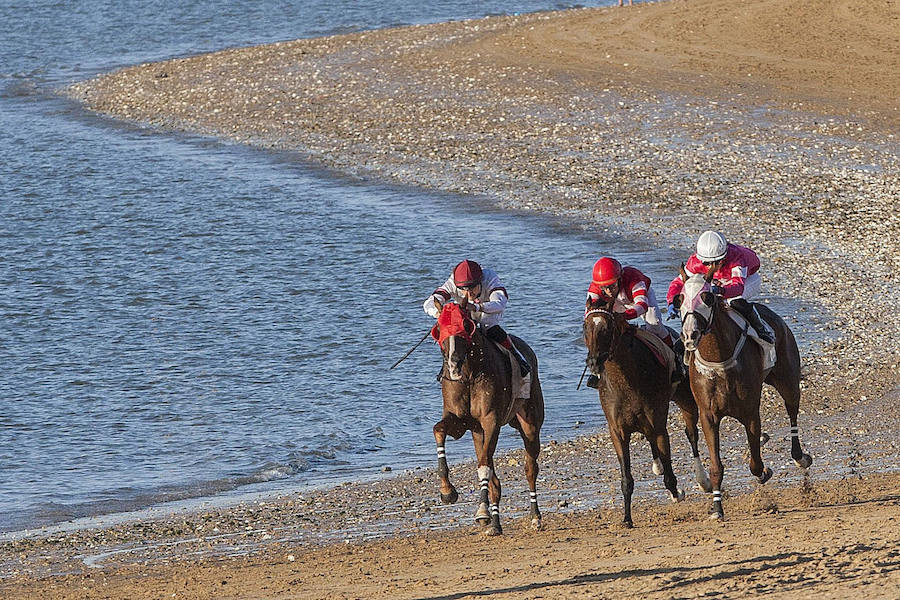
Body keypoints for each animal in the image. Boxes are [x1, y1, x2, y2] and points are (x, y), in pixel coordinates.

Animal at [432, 302, 544, 536]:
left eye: (465, 325)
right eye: (439, 328)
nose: (453, 363)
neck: (469, 376)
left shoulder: (491, 421)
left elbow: (483, 466)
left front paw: (482, 511)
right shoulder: (461, 421)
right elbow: (438, 429)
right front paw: (447, 490)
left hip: (530, 422)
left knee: (530, 469)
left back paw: (535, 517)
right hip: (478, 434)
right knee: (495, 479)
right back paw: (495, 523)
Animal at [584, 298, 712, 528]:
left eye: (607, 328)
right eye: (585, 327)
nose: (593, 362)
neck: (627, 379)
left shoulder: (659, 425)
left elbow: (670, 474)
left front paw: (676, 493)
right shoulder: (617, 432)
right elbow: (626, 479)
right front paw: (627, 518)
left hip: (686, 400)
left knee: (692, 435)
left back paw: (703, 480)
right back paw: (657, 466)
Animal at [672, 268, 812, 520]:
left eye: (707, 297)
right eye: (680, 299)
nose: (689, 334)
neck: (719, 361)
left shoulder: (750, 413)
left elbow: (755, 463)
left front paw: (764, 471)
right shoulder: (708, 416)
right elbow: (716, 466)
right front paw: (717, 507)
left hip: (788, 380)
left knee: (792, 412)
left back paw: (801, 457)